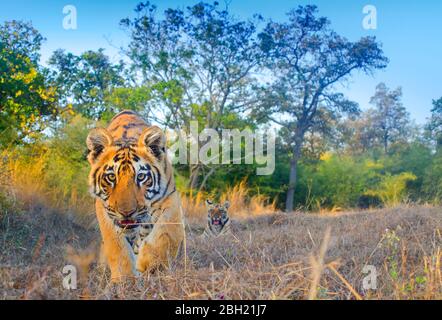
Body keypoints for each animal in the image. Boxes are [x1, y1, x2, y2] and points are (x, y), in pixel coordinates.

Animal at [85, 110, 184, 282]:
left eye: (141, 177)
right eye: (111, 177)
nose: (127, 212)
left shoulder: (171, 197)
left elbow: (166, 232)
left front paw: (149, 264)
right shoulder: (104, 209)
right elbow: (116, 246)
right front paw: (124, 279)